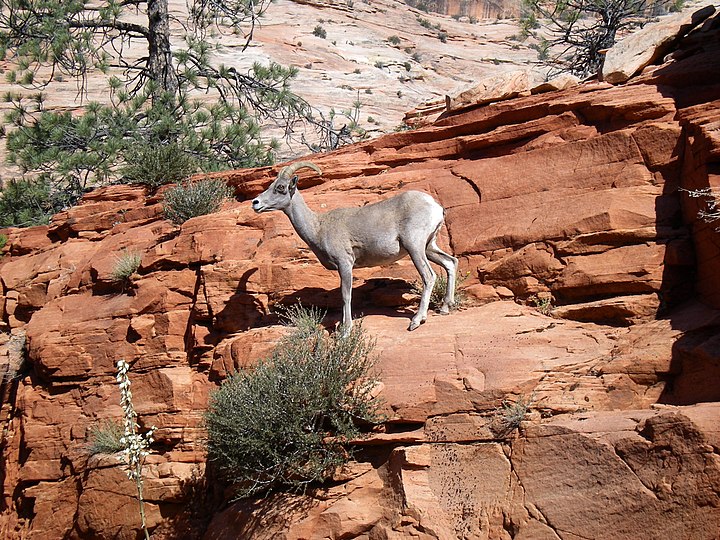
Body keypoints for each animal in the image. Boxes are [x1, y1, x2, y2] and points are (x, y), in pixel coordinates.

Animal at [250, 159, 458, 334]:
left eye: (281, 188)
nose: (255, 203)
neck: (318, 227)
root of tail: (435, 206)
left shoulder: (345, 264)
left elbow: (346, 296)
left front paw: (345, 331)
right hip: (428, 247)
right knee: (451, 262)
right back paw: (445, 308)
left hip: (415, 247)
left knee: (429, 276)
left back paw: (416, 321)